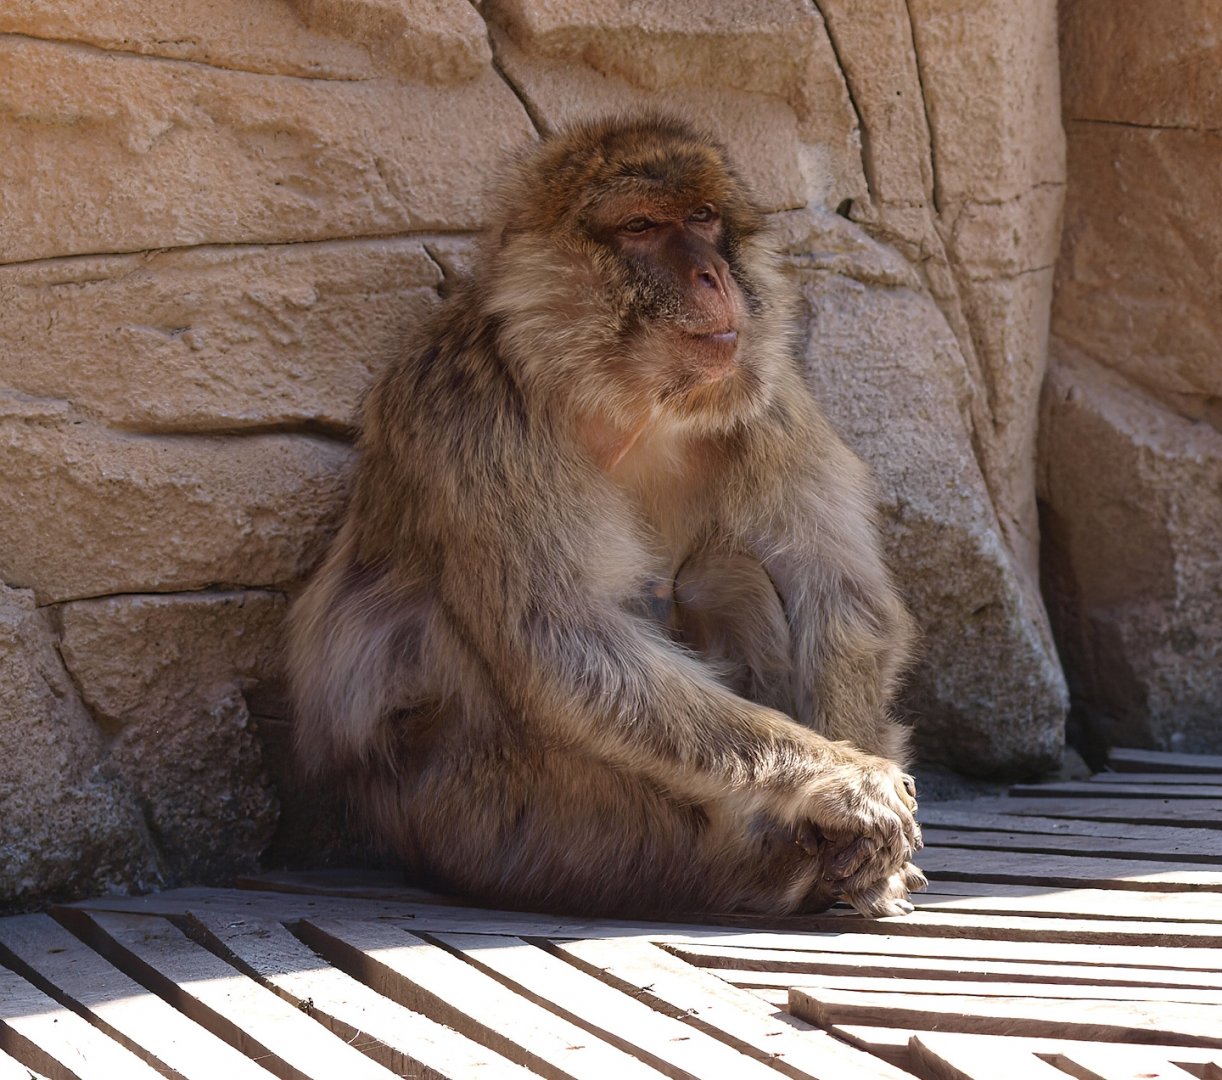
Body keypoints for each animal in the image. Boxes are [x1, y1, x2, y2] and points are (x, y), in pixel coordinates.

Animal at [287, 115, 925, 919]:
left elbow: (842, 597)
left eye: (703, 218)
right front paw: (845, 785)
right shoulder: (471, 413)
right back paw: (776, 863)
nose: (711, 276)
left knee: (727, 574)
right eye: (642, 226)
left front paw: (858, 799)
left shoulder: (770, 398)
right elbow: (566, 640)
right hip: (504, 820)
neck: (622, 400)